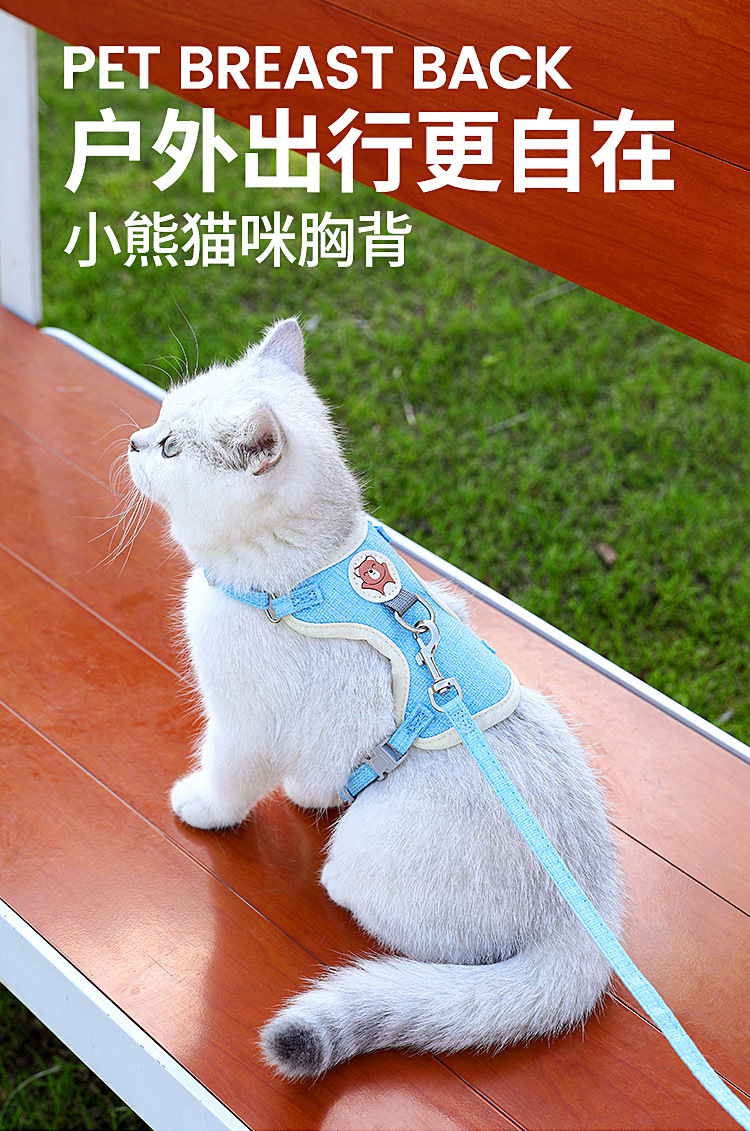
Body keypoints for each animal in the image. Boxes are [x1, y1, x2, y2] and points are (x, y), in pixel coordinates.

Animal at [127, 317, 622, 1079]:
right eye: (160, 414)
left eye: (172, 446)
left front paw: (202, 808)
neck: (304, 568)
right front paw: (304, 791)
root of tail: (589, 914)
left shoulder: (243, 725)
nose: (133, 440)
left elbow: (227, 779)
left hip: (366, 842)